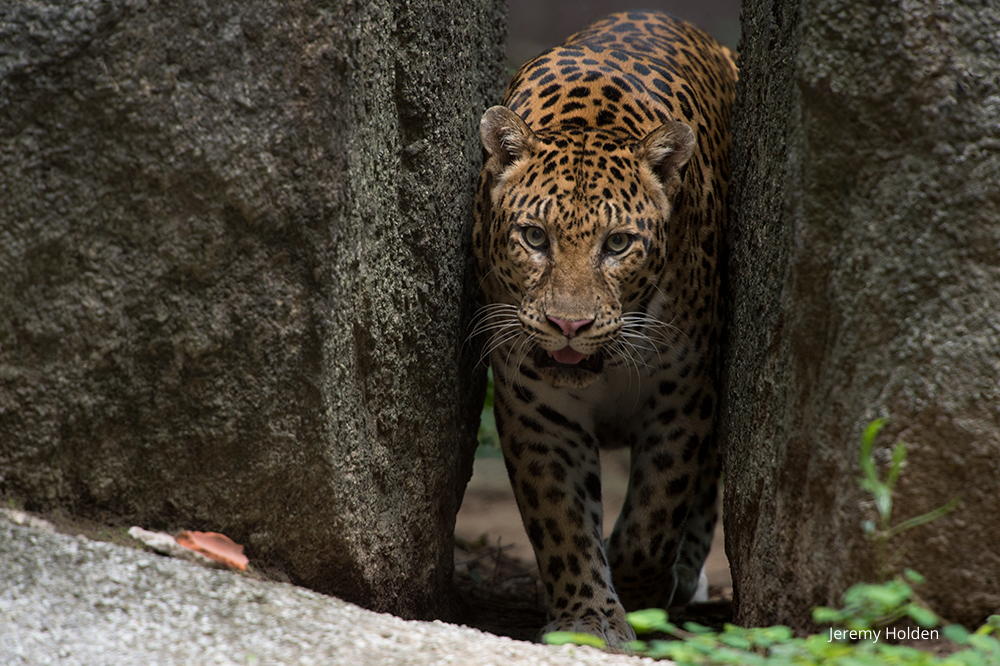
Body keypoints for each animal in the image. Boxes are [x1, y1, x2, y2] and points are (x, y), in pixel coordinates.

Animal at [468, 9, 736, 644]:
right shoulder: (536, 408)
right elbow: (562, 521)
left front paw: (639, 594)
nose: (569, 325)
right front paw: (587, 618)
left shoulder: (683, 396)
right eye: (534, 237)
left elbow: (655, 517)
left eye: (617, 245)